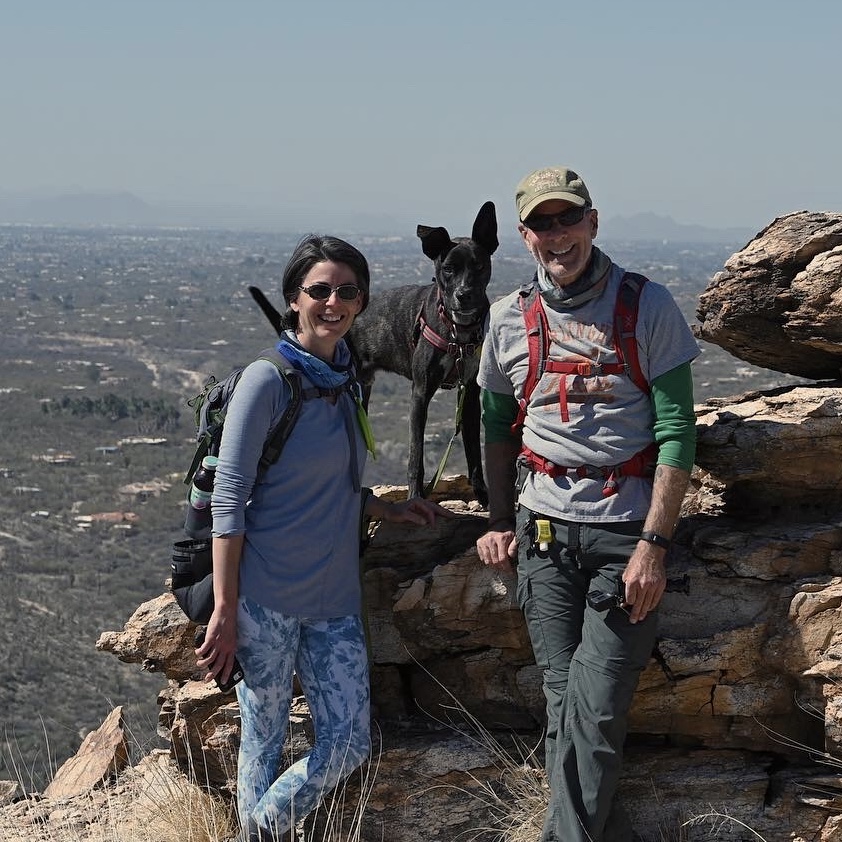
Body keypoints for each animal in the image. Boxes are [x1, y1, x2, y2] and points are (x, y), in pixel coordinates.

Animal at [246, 202, 496, 506]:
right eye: (448, 269)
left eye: (479, 266)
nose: (464, 295)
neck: (457, 332)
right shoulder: (420, 394)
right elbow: (416, 456)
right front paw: (416, 497)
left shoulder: (469, 394)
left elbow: (474, 453)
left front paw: (484, 496)